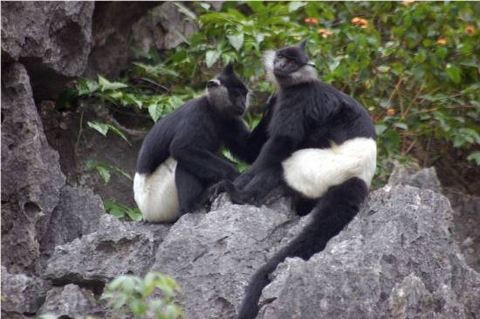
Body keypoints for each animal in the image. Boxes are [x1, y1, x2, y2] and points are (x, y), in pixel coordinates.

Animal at [135, 64, 268, 224]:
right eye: (236, 94)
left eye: (244, 95)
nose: (243, 104)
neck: (213, 111)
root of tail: (145, 211)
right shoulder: (197, 113)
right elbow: (182, 148)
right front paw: (235, 176)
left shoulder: (231, 120)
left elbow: (250, 150)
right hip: (158, 200)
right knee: (183, 161)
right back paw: (193, 204)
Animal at [216, 41, 376, 318]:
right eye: (281, 57)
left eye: (291, 62)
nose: (280, 64)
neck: (297, 83)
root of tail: (355, 177)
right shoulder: (279, 99)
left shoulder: (297, 100)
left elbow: (280, 143)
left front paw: (241, 181)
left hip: (312, 168)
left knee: (280, 163)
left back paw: (243, 196)